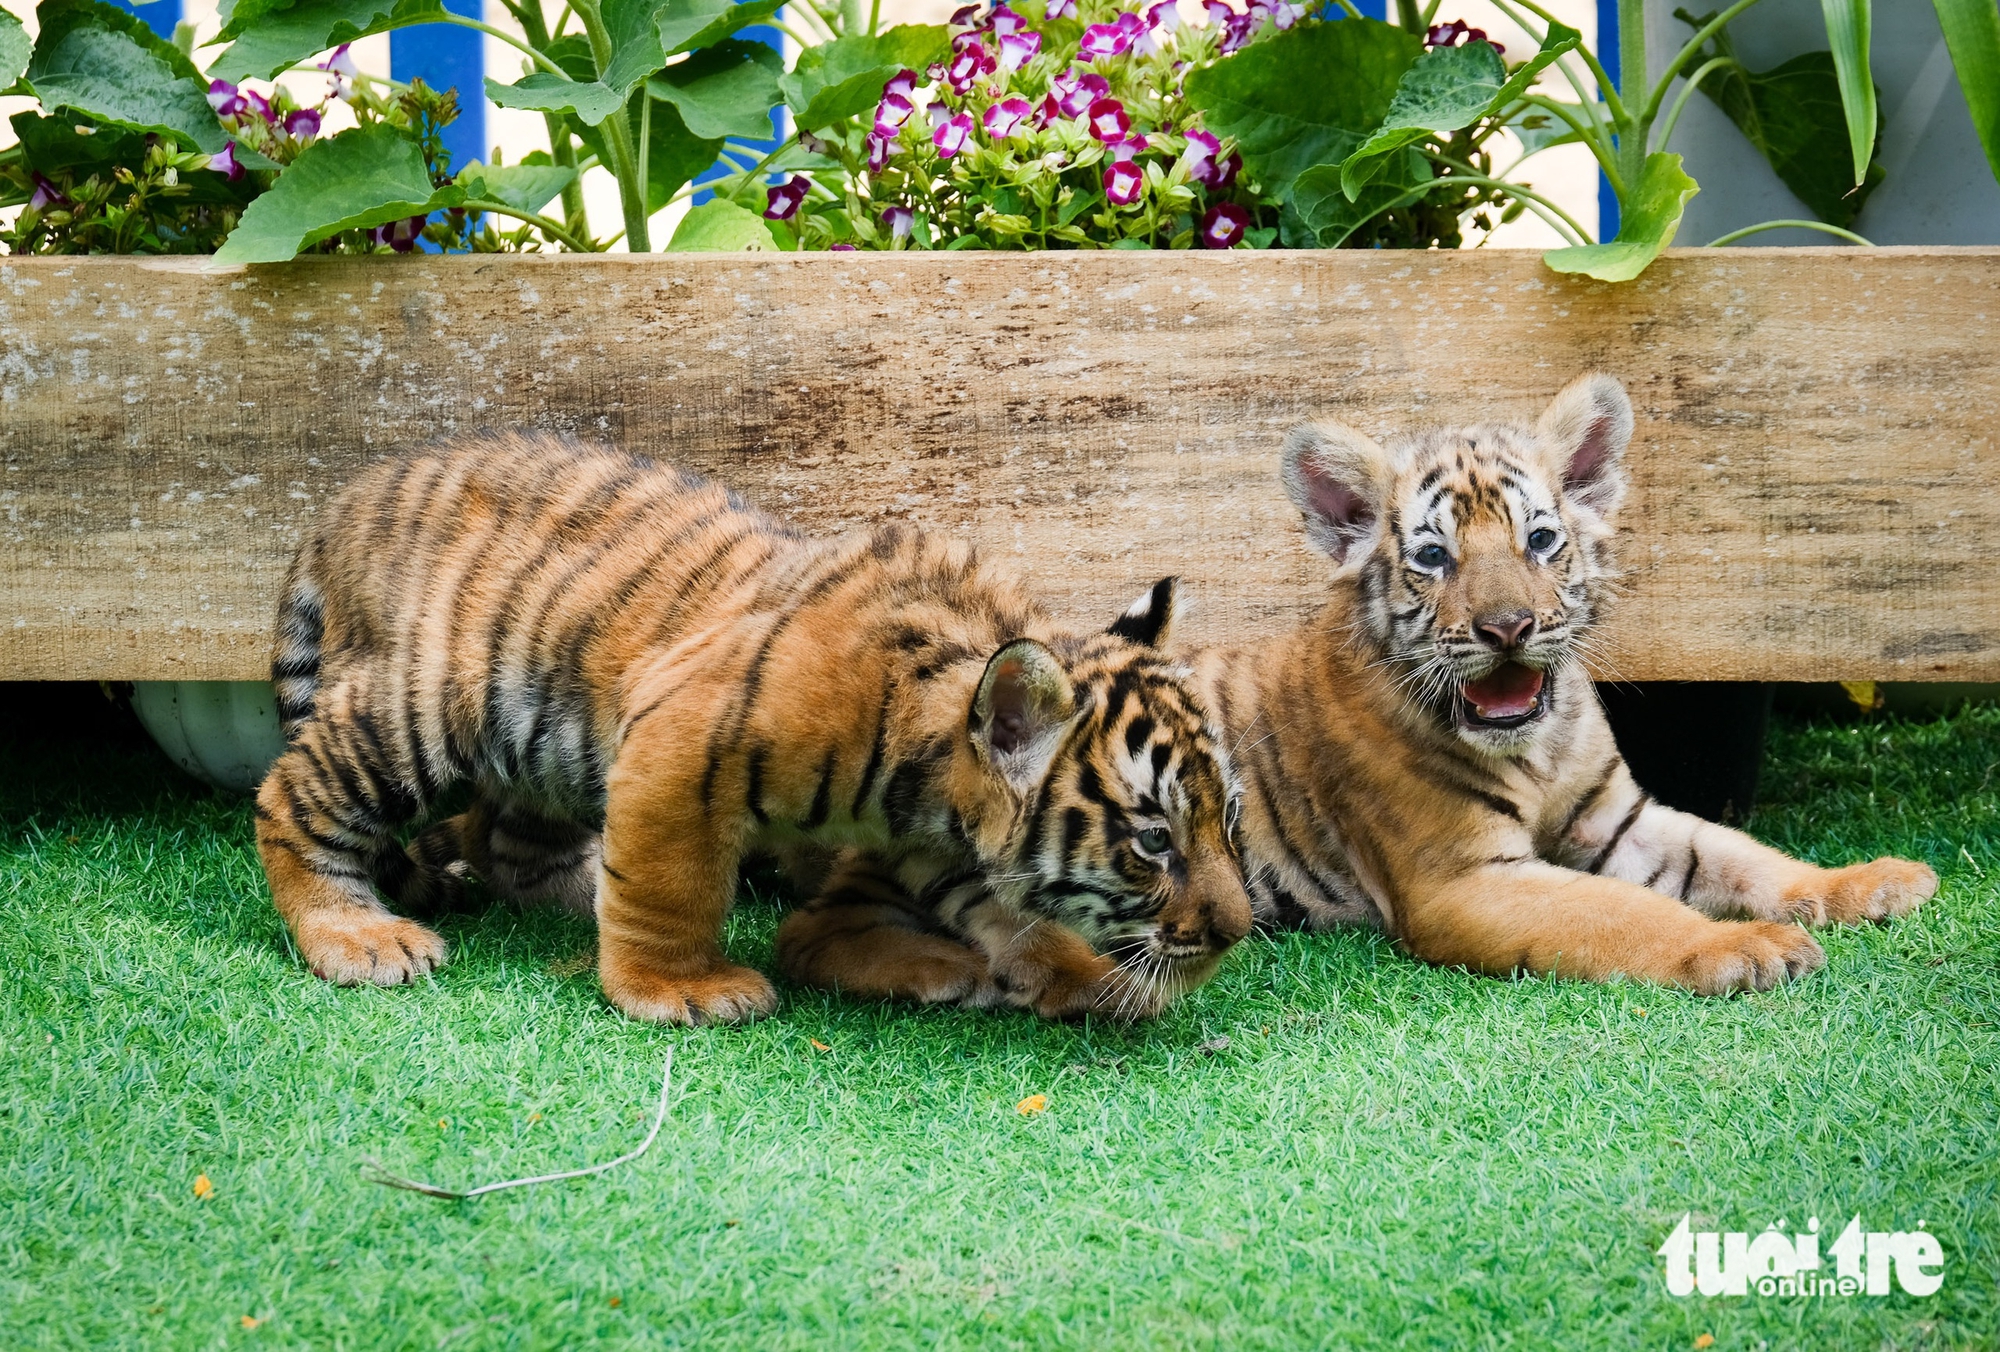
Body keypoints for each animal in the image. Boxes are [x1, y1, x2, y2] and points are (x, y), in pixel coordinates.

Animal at [255, 433, 1251, 1025]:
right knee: (291, 796)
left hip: (543, 751)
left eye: (1230, 820)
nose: (1239, 933)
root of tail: (344, 502)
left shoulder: (940, 845)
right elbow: (671, 886)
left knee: (511, 844)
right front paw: (678, 989)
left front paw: (1084, 976)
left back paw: (577, 893)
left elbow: (1008, 912)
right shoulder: (677, 744)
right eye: (1154, 840)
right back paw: (359, 935)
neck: (929, 775)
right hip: (426, 704)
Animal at [772, 374, 1937, 1002]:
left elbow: (1742, 854)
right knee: (812, 930)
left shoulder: (1622, 819)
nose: (1507, 628)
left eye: (1540, 540)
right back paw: (941, 971)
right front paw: (1744, 949)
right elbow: (1625, 918)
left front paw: (1869, 883)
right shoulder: (1463, 879)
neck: (1538, 737)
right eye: (1430, 557)